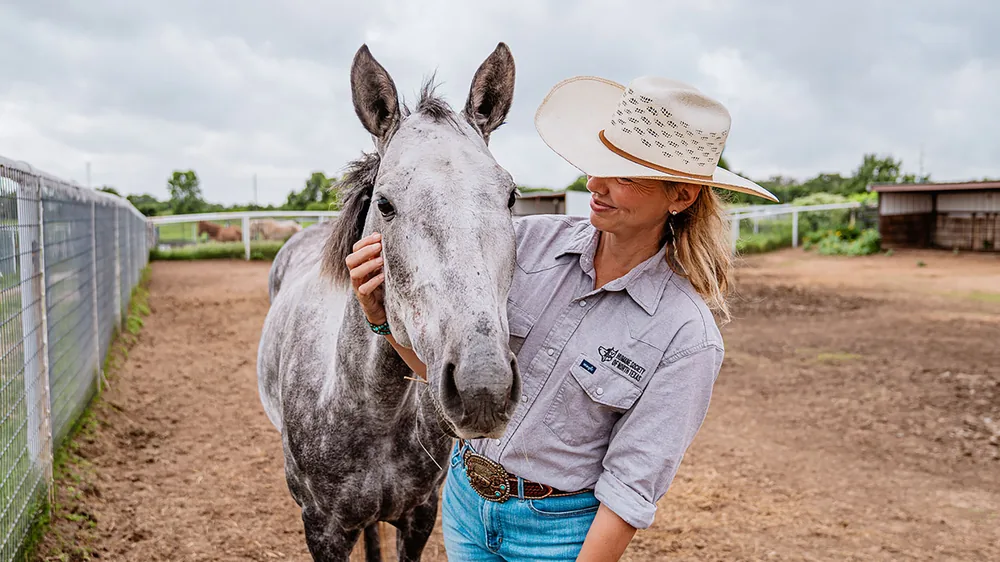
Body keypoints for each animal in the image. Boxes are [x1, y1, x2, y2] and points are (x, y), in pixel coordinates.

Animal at [257, 43, 520, 561]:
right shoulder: (322, 530)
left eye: (511, 197)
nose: (484, 387)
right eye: (385, 204)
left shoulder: (419, 516)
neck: (371, 408)